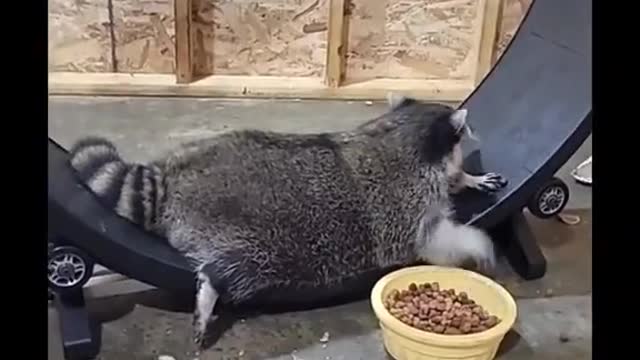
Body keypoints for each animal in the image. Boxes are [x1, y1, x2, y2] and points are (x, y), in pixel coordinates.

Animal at [70, 95, 508, 346]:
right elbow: (436, 242)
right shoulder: (409, 208)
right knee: (233, 269)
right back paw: (211, 288)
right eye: (465, 128)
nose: (474, 128)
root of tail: (176, 175)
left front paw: (466, 179)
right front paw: (477, 243)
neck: (397, 132)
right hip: (248, 239)